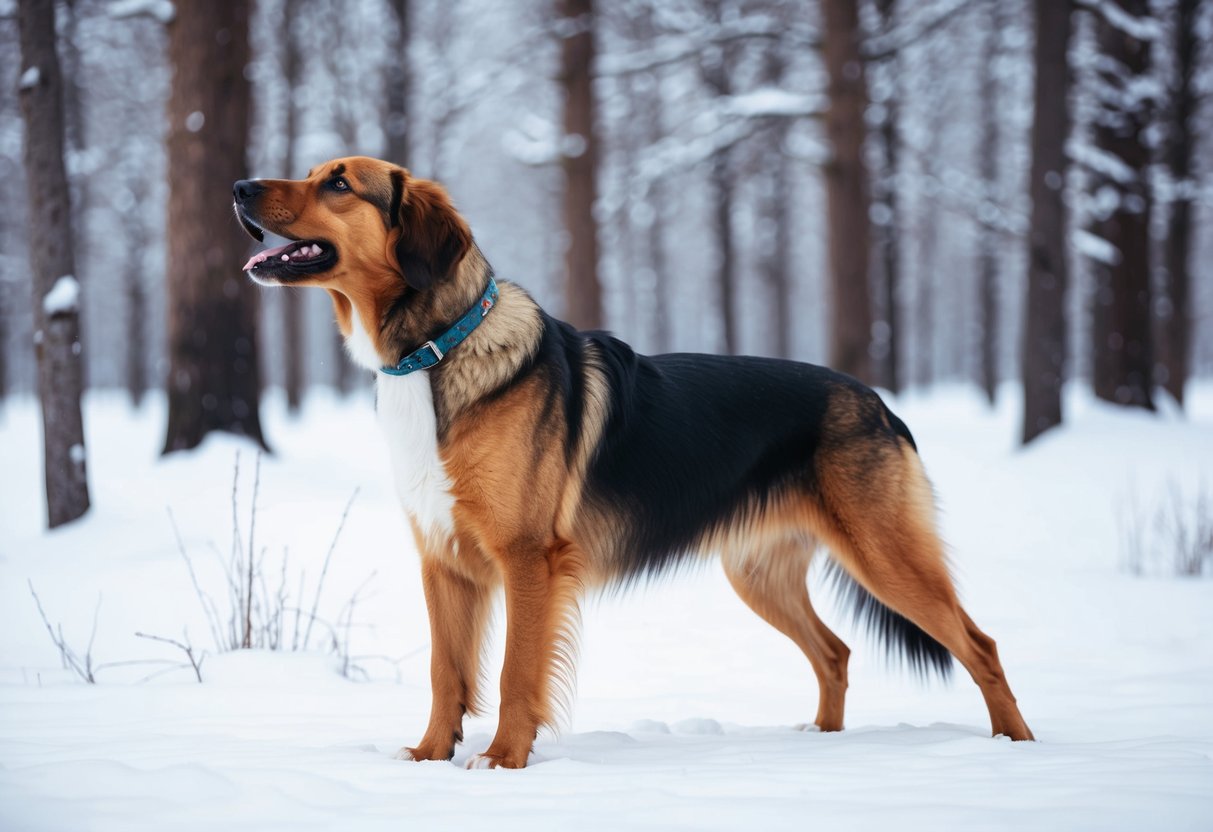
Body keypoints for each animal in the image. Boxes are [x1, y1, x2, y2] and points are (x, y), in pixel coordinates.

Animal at [234, 154, 1033, 771]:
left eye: (339, 183)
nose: (240, 186)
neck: (438, 350)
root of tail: (876, 401)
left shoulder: (528, 559)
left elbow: (516, 673)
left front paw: (501, 764)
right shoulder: (443, 560)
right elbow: (445, 673)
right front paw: (429, 759)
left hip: (885, 554)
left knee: (983, 646)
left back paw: (1014, 747)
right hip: (758, 573)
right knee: (834, 653)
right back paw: (822, 743)